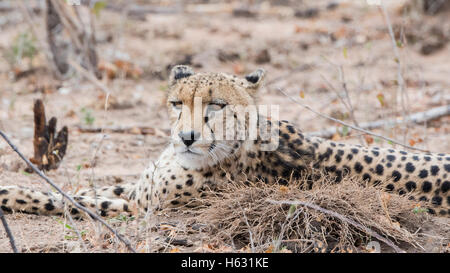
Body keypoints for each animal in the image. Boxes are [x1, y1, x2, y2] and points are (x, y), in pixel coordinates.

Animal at [0, 64, 448, 219]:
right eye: (176, 103)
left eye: (216, 105)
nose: (186, 138)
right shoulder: (138, 187)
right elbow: (88, 188)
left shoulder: (141, 207)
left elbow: (63, 199)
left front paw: (10, 193)